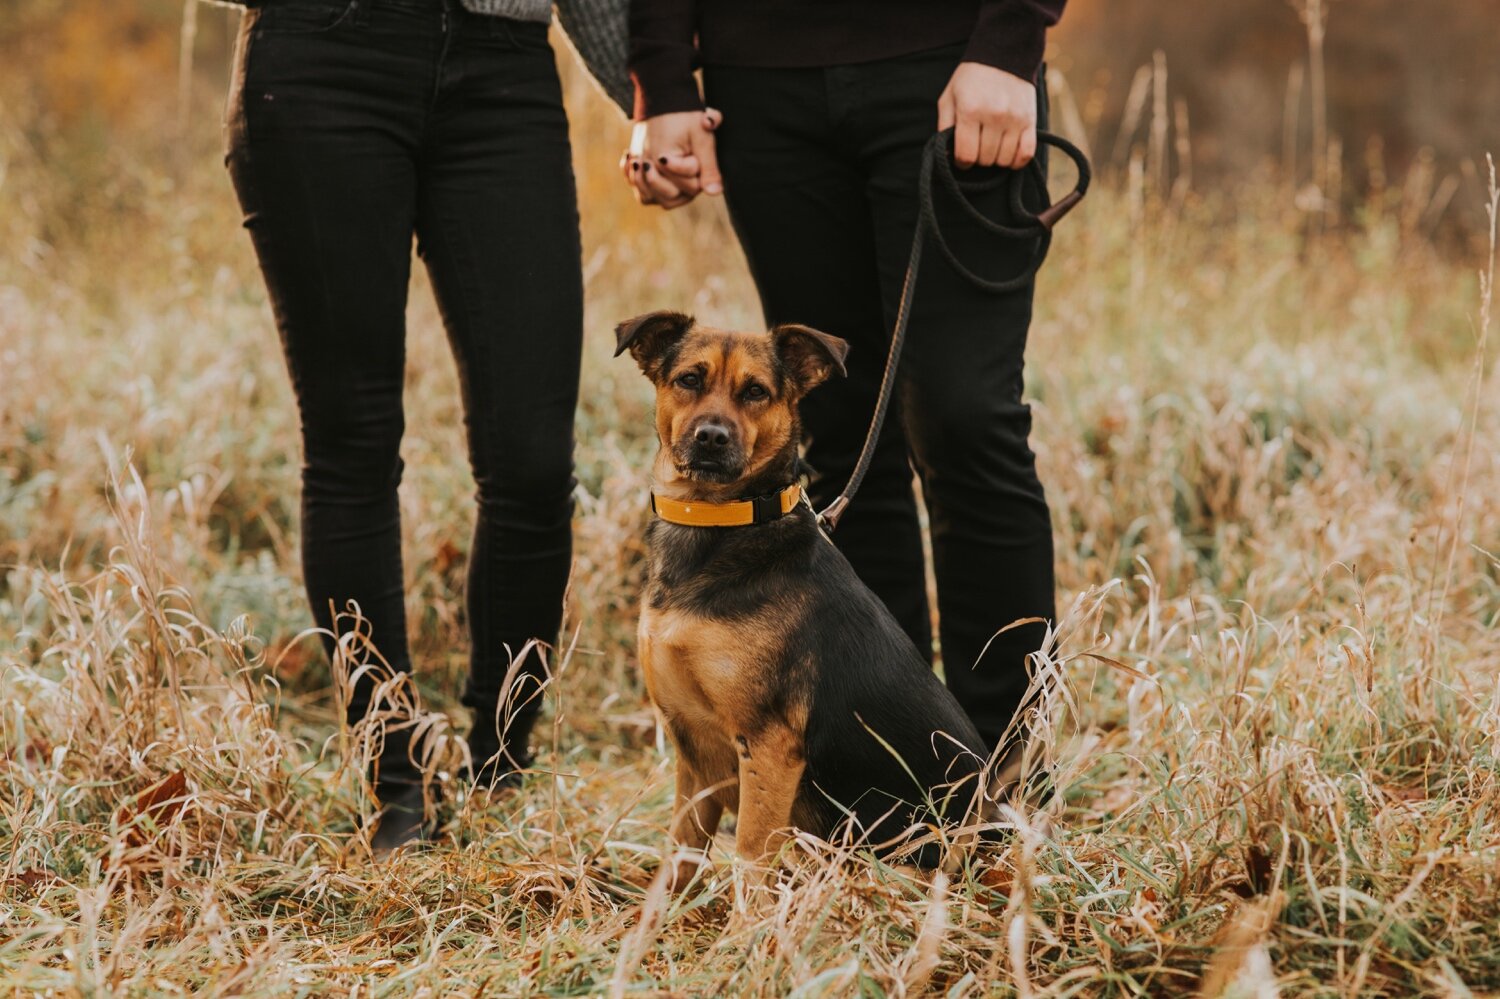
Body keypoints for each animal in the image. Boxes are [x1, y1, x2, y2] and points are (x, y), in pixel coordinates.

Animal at [615, 306, 990, 882]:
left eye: (756, 392)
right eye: (689, 380)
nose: (711, 437)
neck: (722, 522)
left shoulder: (768, 746)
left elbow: (750, 855)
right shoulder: (695, 752)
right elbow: (679, 854)